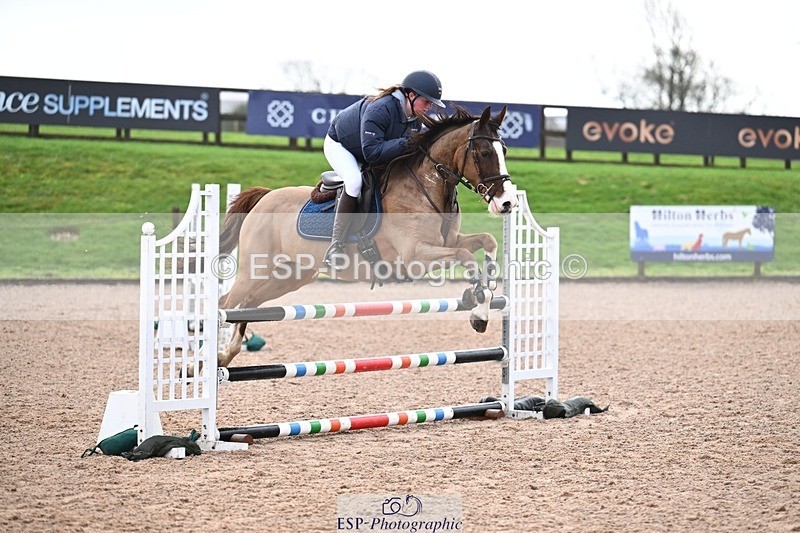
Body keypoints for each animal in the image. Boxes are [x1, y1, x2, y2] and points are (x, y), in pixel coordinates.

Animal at [215, 105, 518, 369]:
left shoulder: (447, 242)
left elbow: (486, 241)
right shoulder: (415, 256)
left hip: (289, 276)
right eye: (484, 153)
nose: (506, 203)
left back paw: (226, 355)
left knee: (248, 305)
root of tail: (264, 197)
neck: (426, 188)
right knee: (225, 305)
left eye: (503, 150)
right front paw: (478, 306)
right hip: (256, 270)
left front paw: (485, 292)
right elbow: (465, 256)